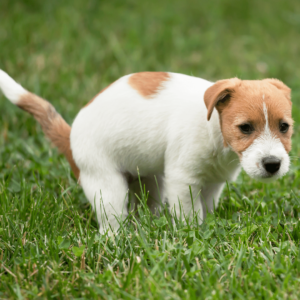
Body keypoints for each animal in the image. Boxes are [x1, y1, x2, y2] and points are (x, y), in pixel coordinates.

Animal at [0, 71, 292, 234]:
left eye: (284, 127)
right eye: (245, 128)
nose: (272, 164)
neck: (215, 131)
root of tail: (70, 137)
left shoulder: (212, 183)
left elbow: (206, 209)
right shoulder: (183, 180)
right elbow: (190, 214)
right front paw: (192, 234)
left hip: (151, 181)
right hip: (108, 188)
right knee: (111, 225)